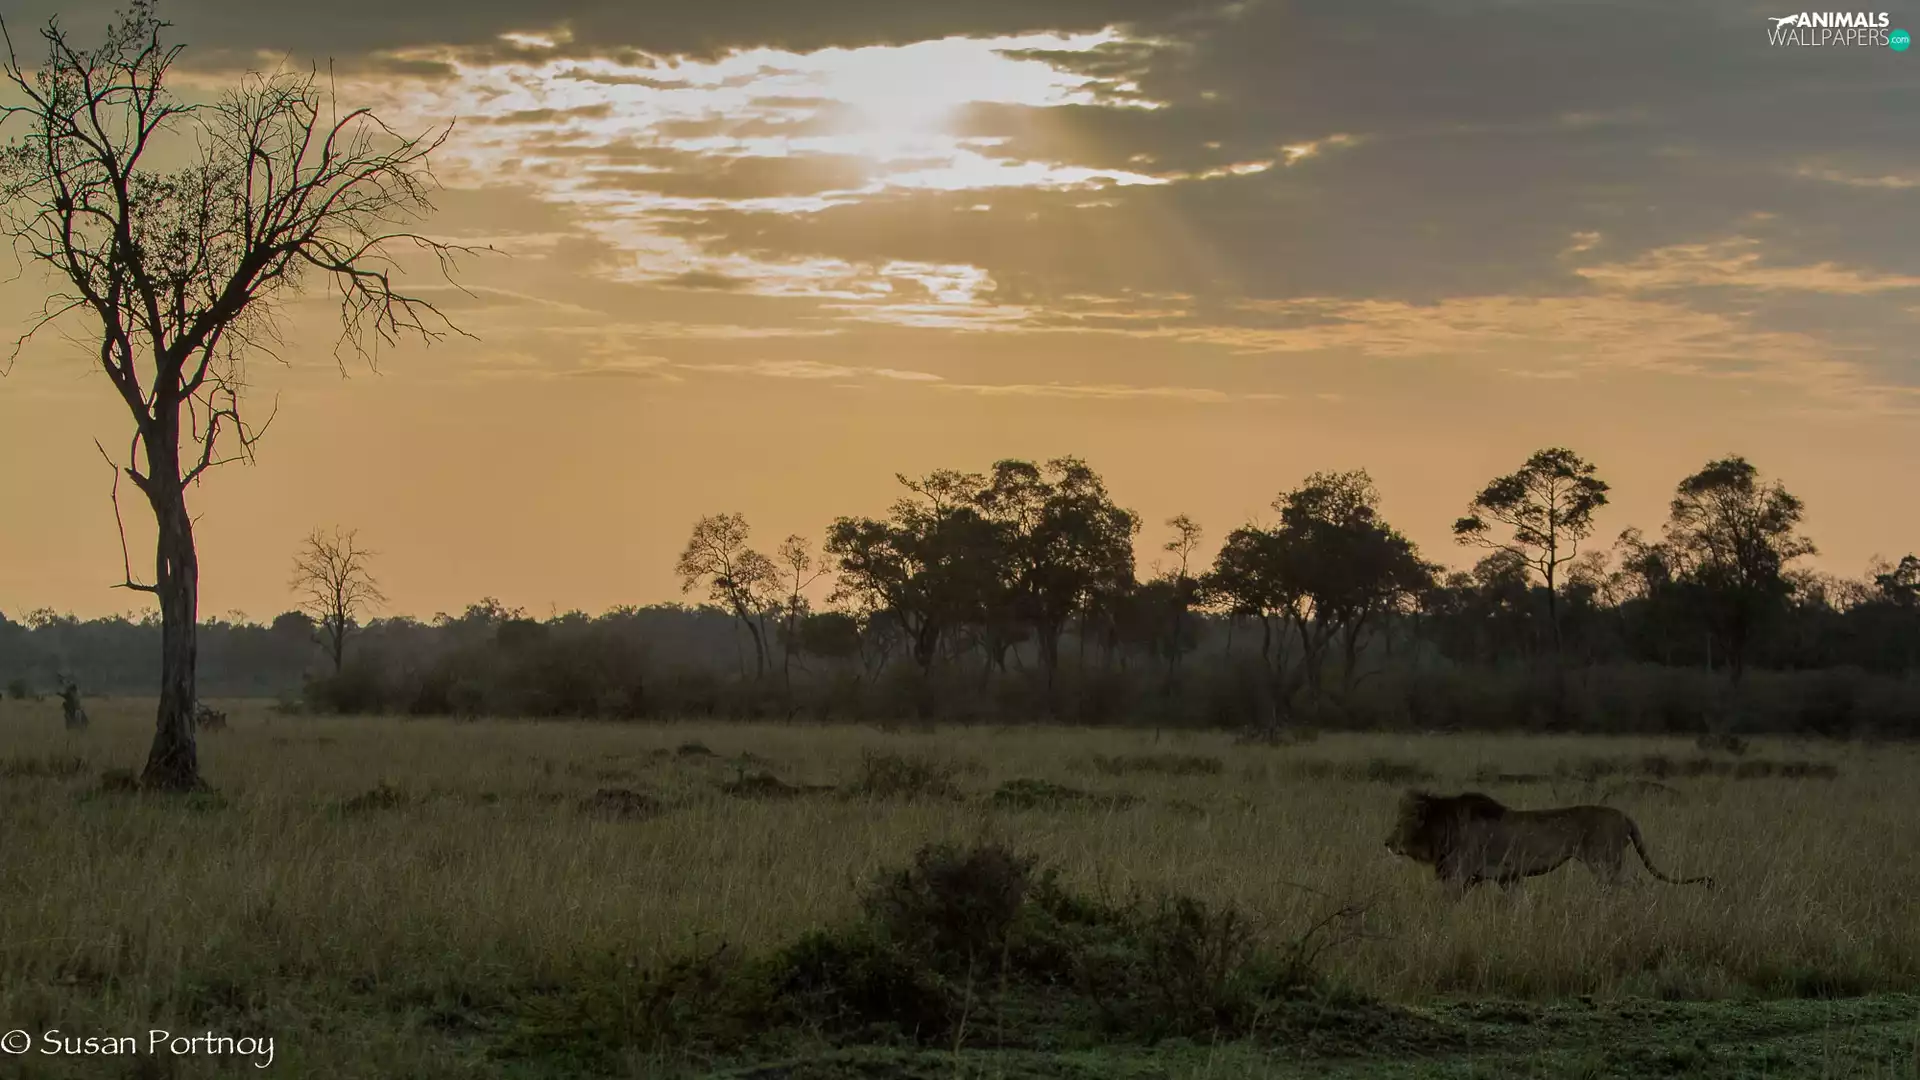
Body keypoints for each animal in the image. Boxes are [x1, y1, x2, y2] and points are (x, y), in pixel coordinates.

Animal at [1383, 789, 1713, 895]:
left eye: (1399, 824)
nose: (1386, 843)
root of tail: (1624, 815)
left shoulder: (1459, 875)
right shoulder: (1508, 878)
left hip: (1604, 863)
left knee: (1636, 884)